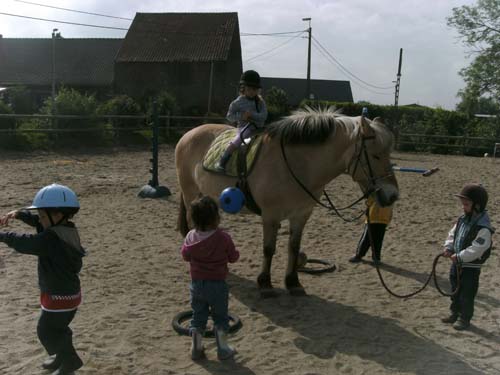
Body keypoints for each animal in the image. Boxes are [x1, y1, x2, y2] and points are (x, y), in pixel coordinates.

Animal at [176, 107, 398, 298]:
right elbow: (268, 249)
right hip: (190, 193)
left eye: (389, 155)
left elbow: (293, 246)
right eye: (375, 155)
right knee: (192, 224)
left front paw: (293, 283)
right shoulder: (271, 216)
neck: (296, 164)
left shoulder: (301, 215)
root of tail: (189, 134)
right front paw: (265, 284)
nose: (393, 195)